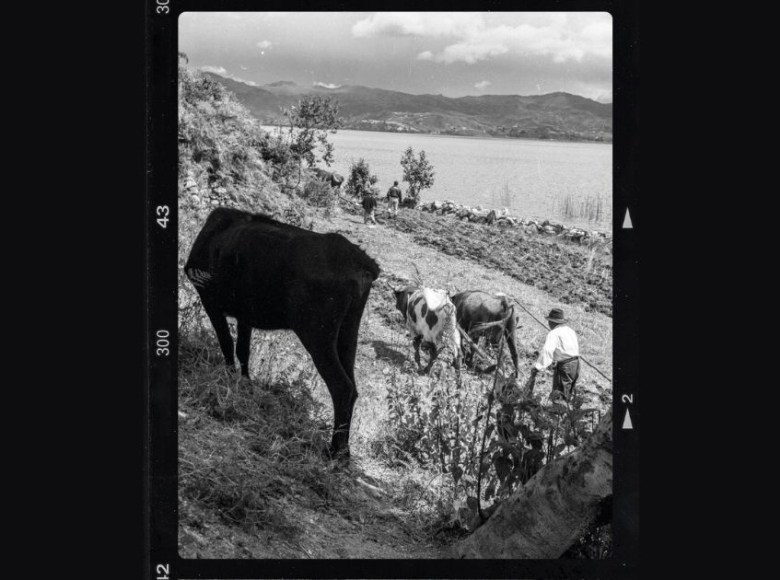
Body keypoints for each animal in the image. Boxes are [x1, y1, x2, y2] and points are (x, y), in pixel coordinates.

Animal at [183, 208, 378, 458]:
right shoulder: (245, 315)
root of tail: (362, 262)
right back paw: (345, 450)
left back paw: (334, 451)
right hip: (347, 332)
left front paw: (228, 378)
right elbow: (243, 350)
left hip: (316, 334)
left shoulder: (210, 300)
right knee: (352, 387)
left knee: (342, 387)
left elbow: (226, 343)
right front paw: (245, 383)